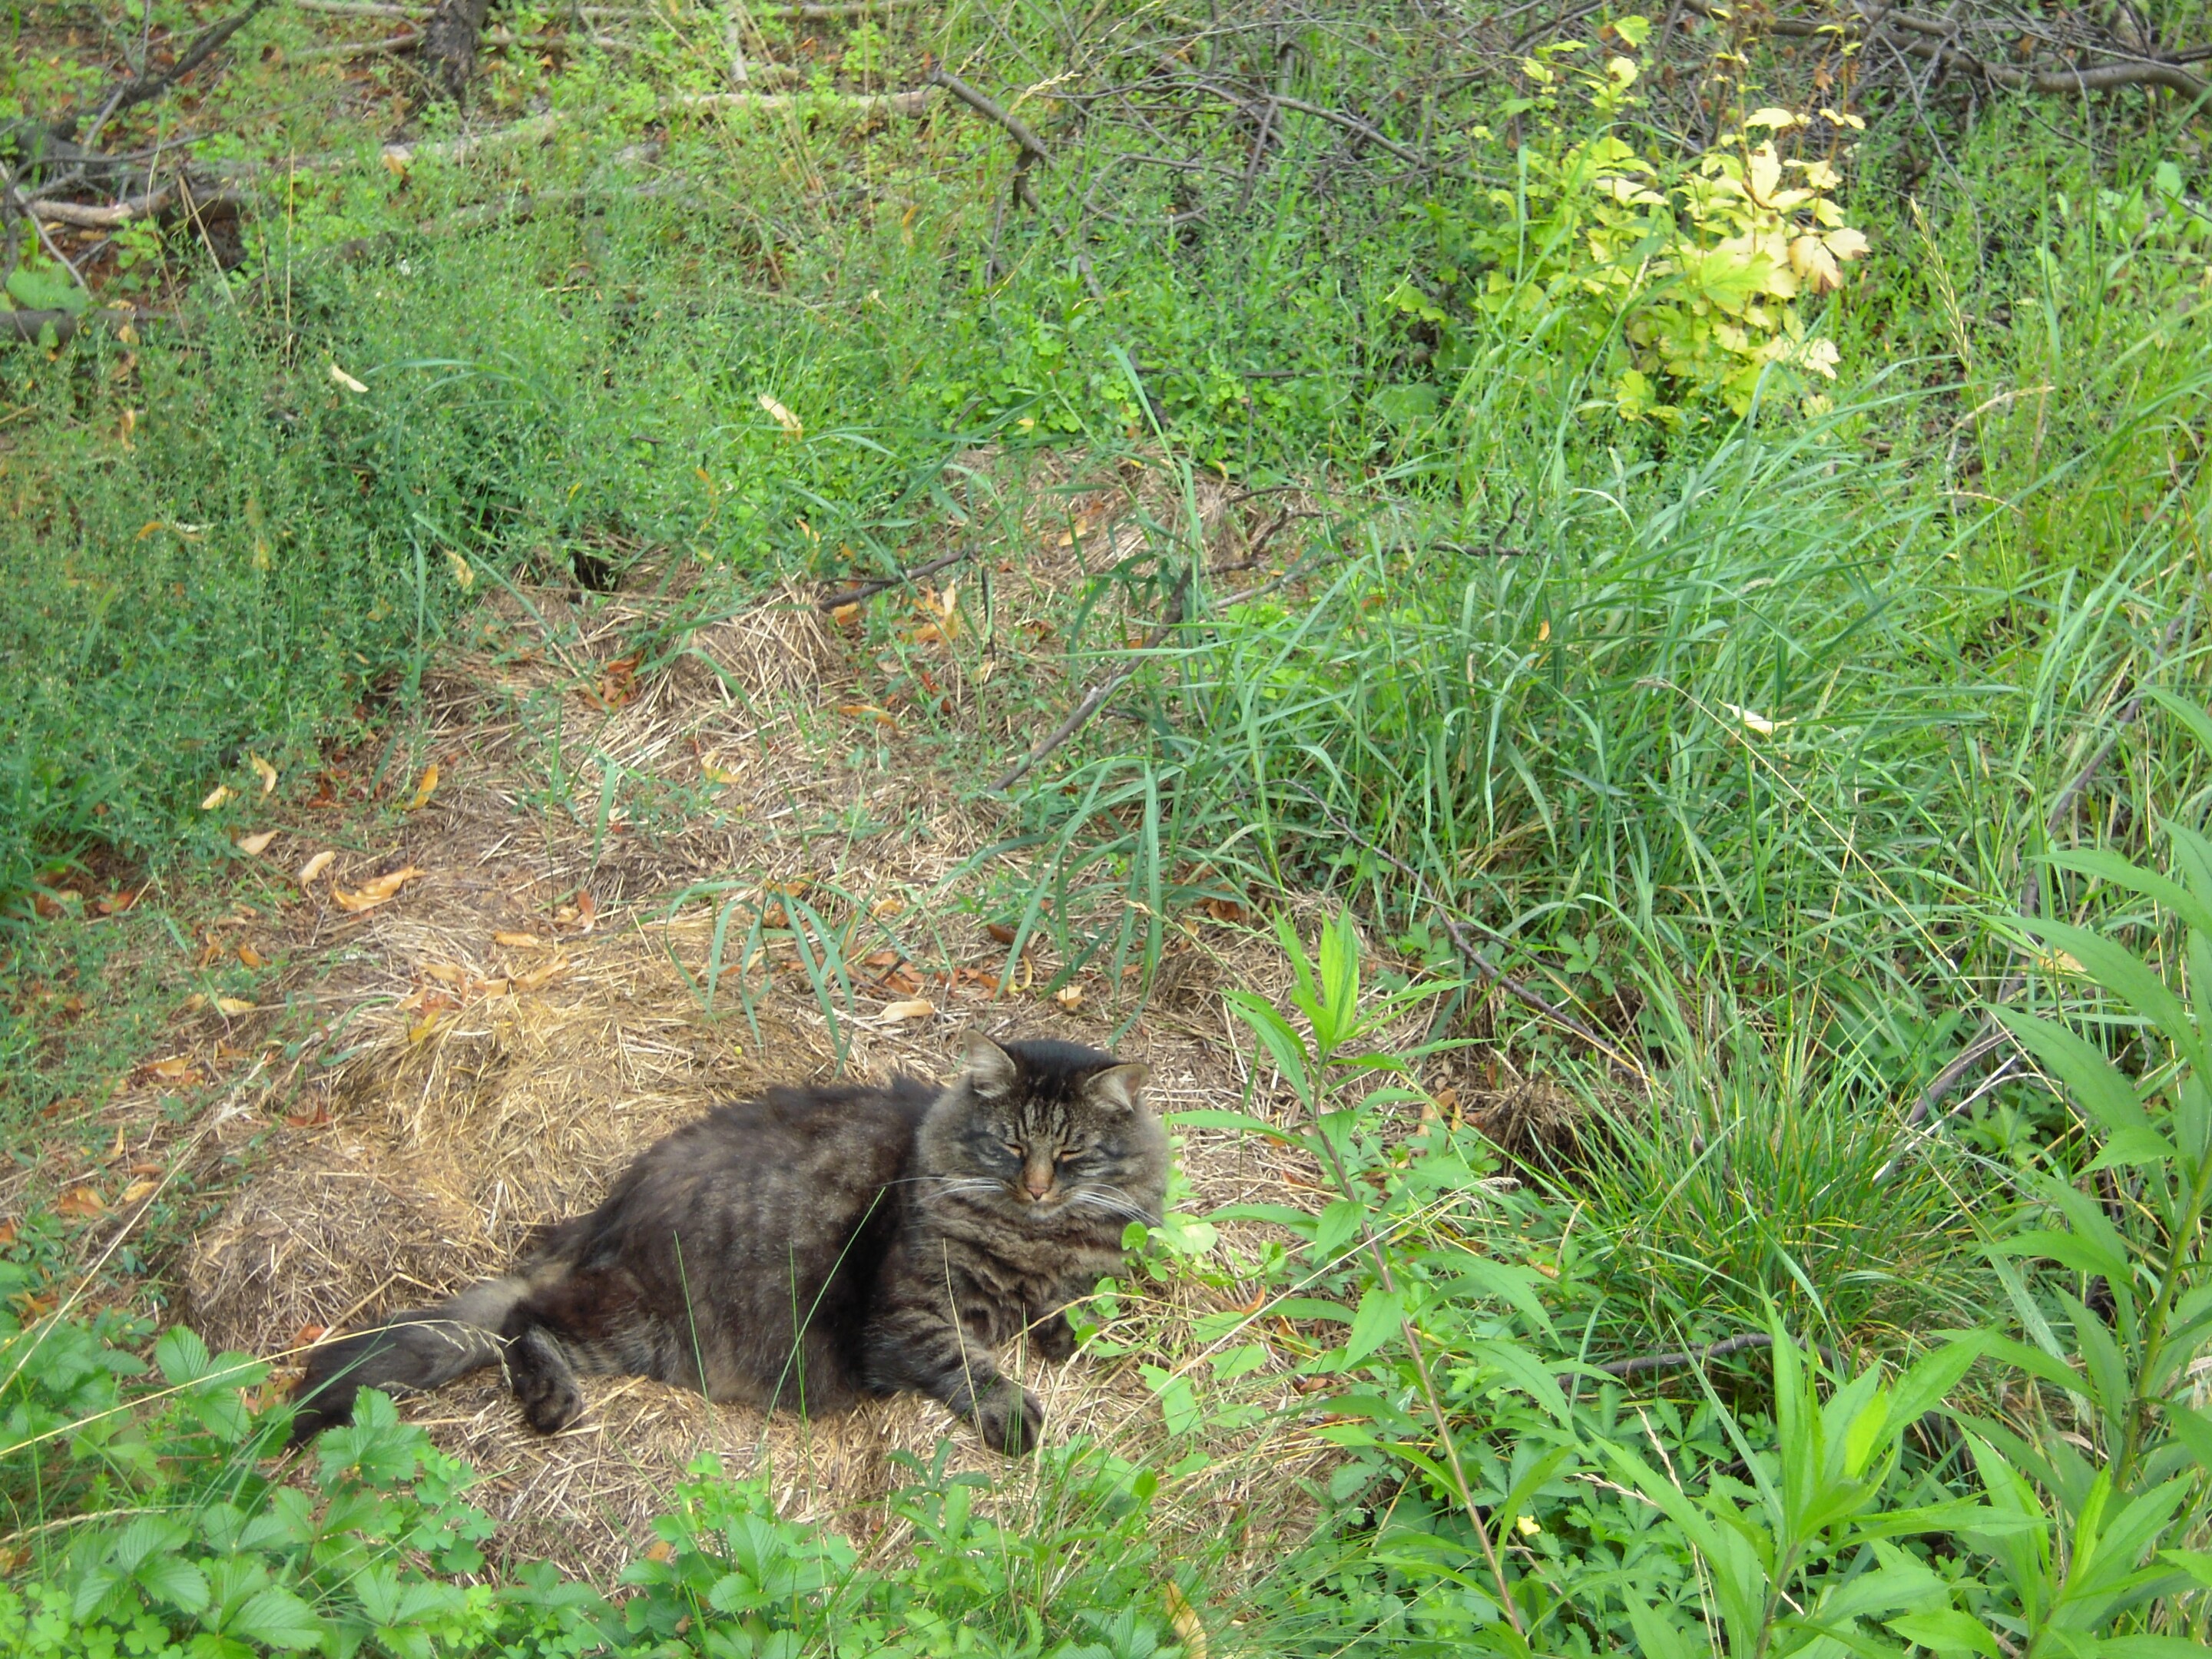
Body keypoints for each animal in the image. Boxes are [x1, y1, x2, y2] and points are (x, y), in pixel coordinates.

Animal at [289, 1033, 1165, 1455]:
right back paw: (548, 1402)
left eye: (1072, 1155)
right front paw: (1013, 1412)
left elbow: (1079, 1303)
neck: (1032, 1239)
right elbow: (967, 1361)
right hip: (635, 1320)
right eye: (1011, 1149)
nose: (1037, 1189)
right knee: (521, 1320)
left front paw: (1062, 1328)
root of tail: (605, 1213)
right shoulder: (906, 1316)